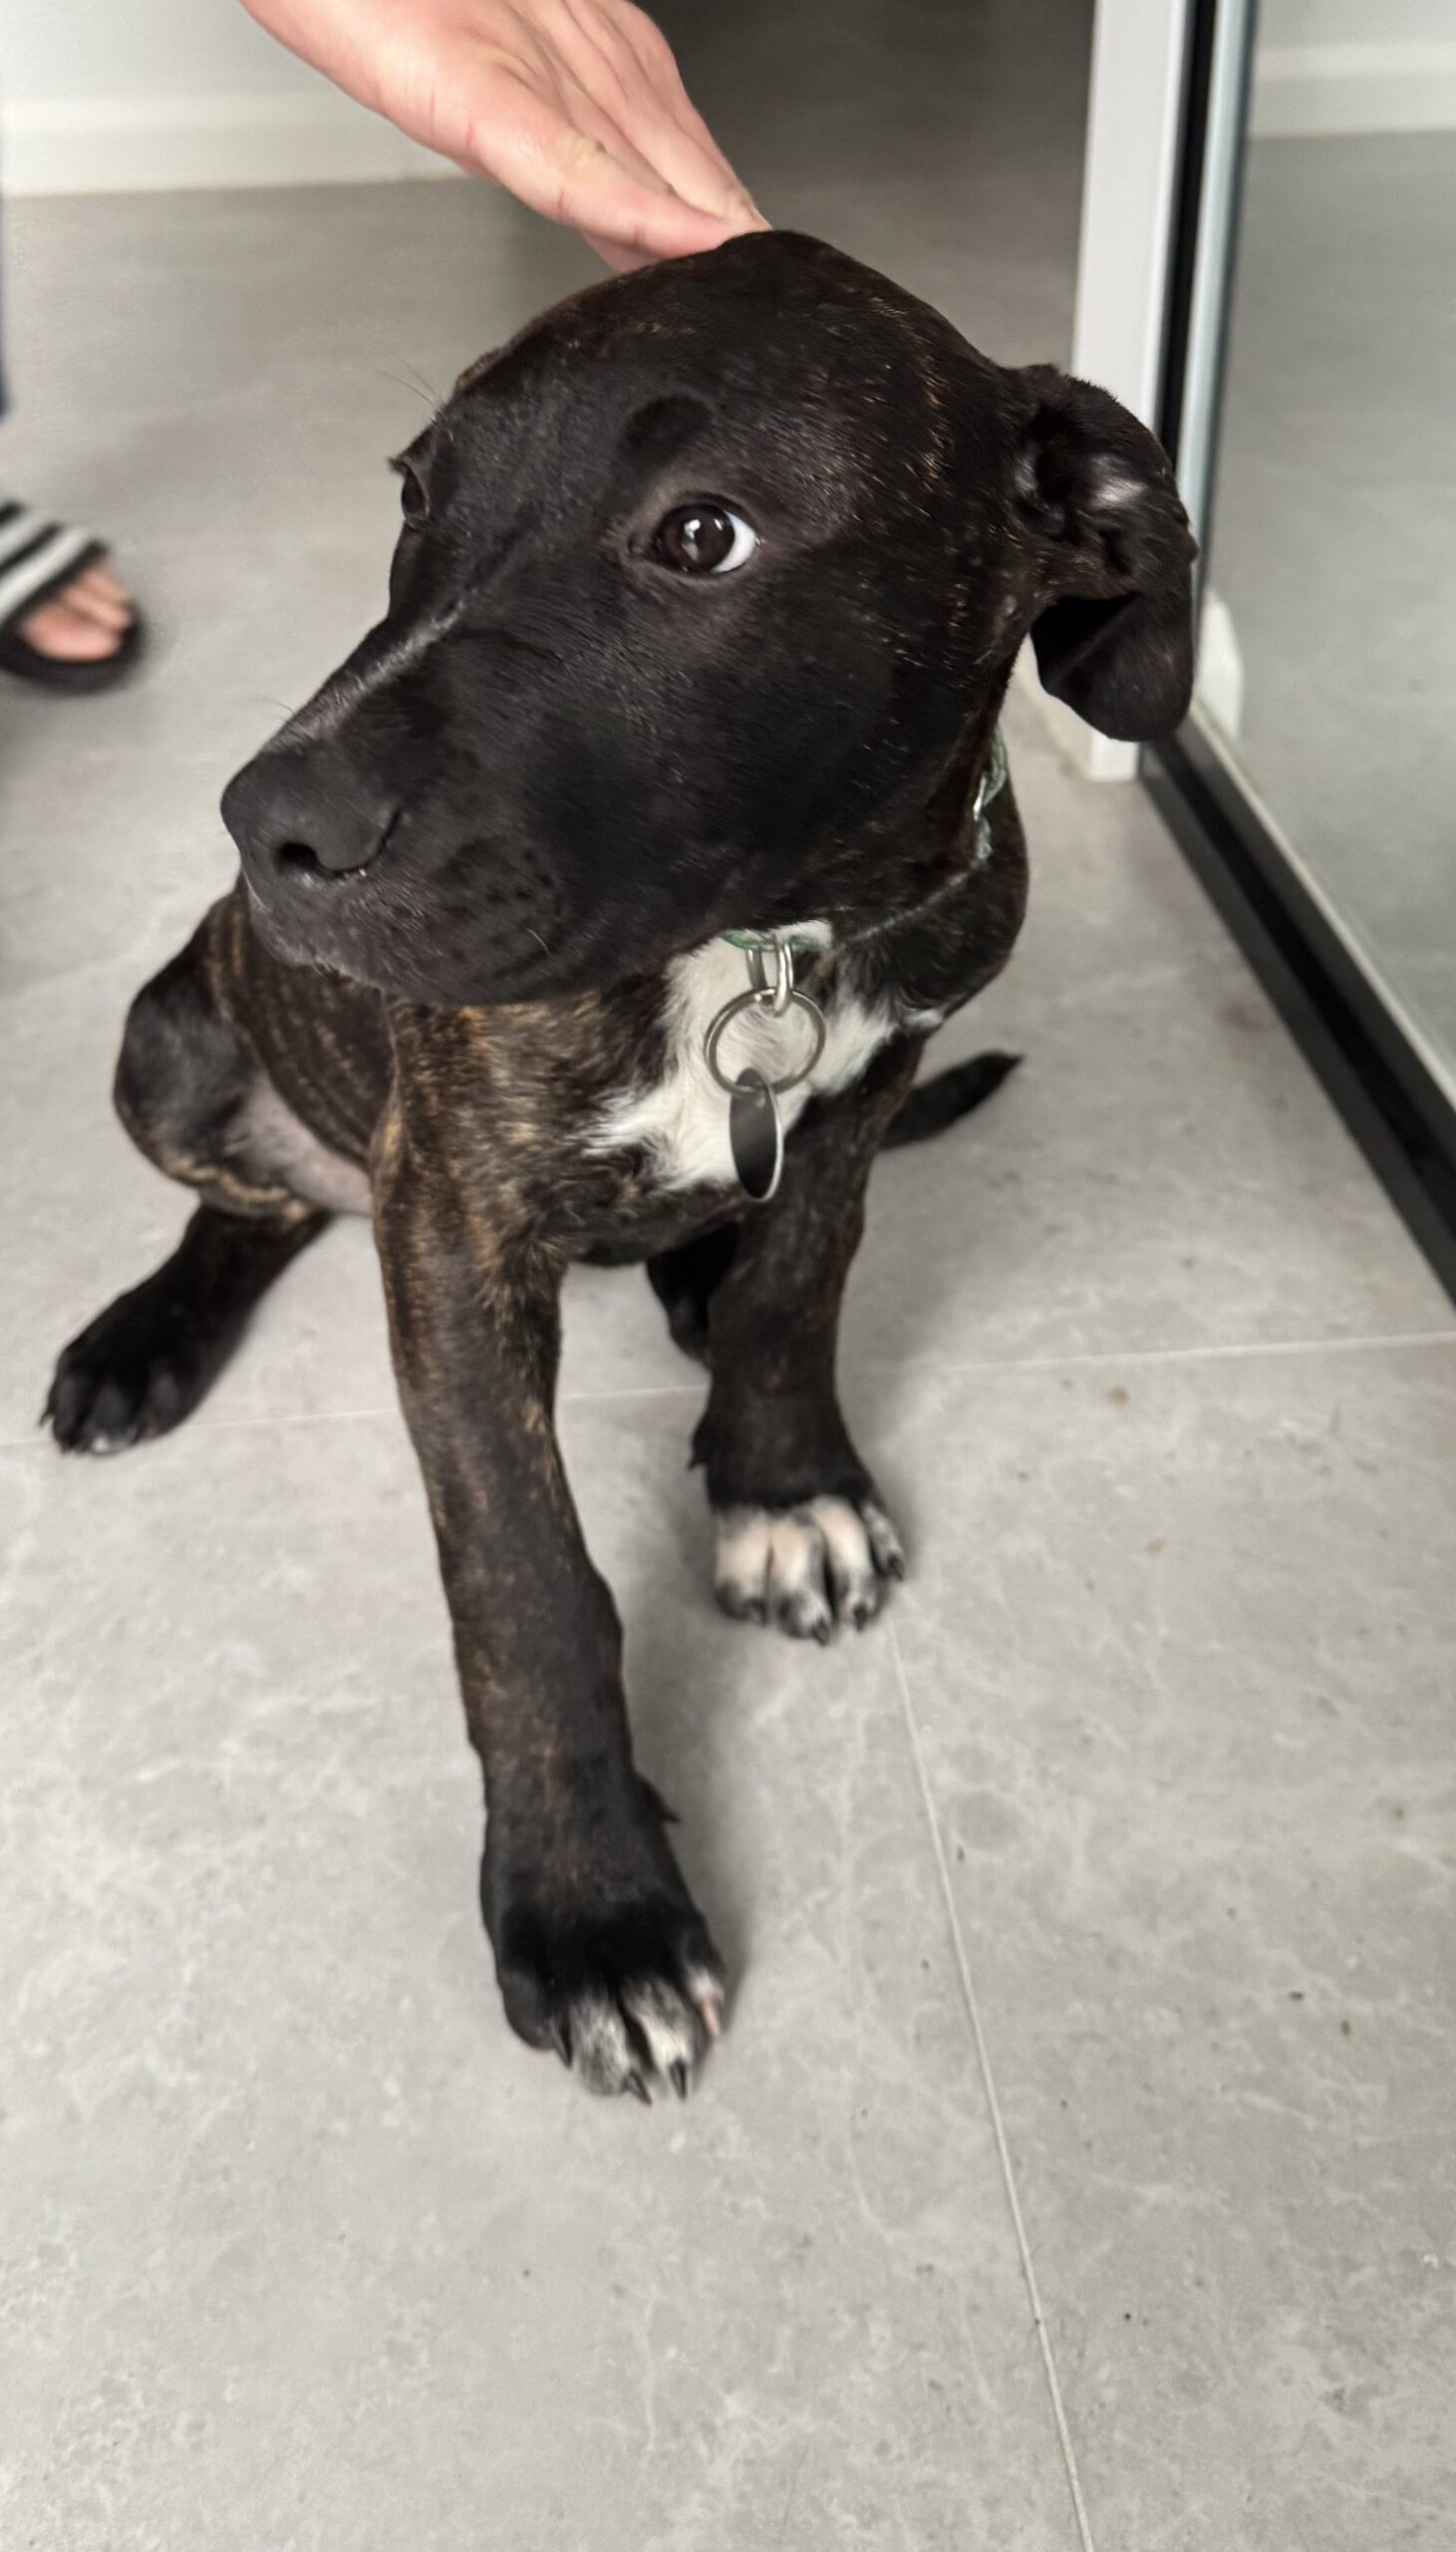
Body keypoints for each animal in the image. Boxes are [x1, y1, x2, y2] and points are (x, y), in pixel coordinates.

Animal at [45, 234, 1195, 2102]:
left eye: (703, 535)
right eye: (414, 495)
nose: (266, 829)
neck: (770, 936)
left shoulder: (865, 1097)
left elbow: (800, 1294)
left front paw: (782, 1487)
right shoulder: (449, 1217)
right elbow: (522, 1580)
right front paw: (593, 1910)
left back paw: (688, 1286)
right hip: (171, 1045)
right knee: (247, 1203)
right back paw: (144, 1338)